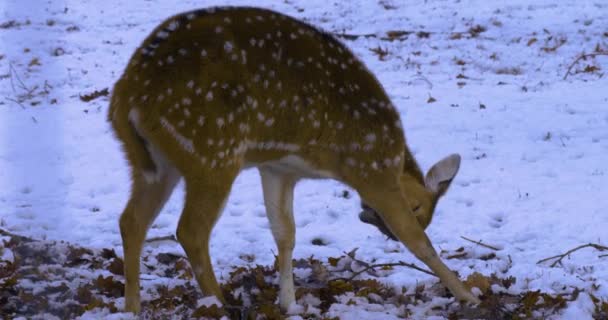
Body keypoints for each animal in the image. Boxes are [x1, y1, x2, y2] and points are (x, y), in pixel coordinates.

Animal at [108, 6, 480, 314]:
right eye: (419, 208)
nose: (379, 227)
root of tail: (127, 96)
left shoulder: (278, 168)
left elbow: (285, 233)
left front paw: (289, 302)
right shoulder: (372, 171)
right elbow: (419, 242)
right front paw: (467, 295)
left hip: (153, 161)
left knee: (131, 220)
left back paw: (132, 307)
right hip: (212, 150)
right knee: (190, 230)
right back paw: (220, 303)